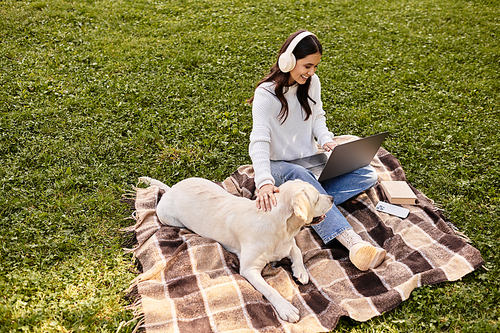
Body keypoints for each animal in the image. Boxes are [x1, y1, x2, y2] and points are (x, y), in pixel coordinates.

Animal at [138, 176, 332, 322]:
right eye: (316, 199)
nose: (331, 198)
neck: (281, 229)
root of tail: (171, 189)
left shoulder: (287, 244)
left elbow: (297, 251)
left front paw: (301, 271)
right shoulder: (249, 269)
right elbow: (270, 290)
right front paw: (286, 308)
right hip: (169, 218)